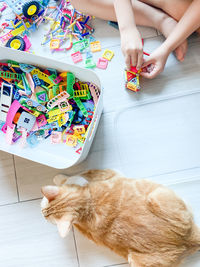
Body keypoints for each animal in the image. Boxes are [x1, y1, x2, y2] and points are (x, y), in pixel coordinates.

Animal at [40, 170, 200, 267]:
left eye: (46, 216)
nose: (42, 214)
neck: (87, 203)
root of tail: (187, 240)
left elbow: (72, 176)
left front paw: (59, 177)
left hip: (156, 196)